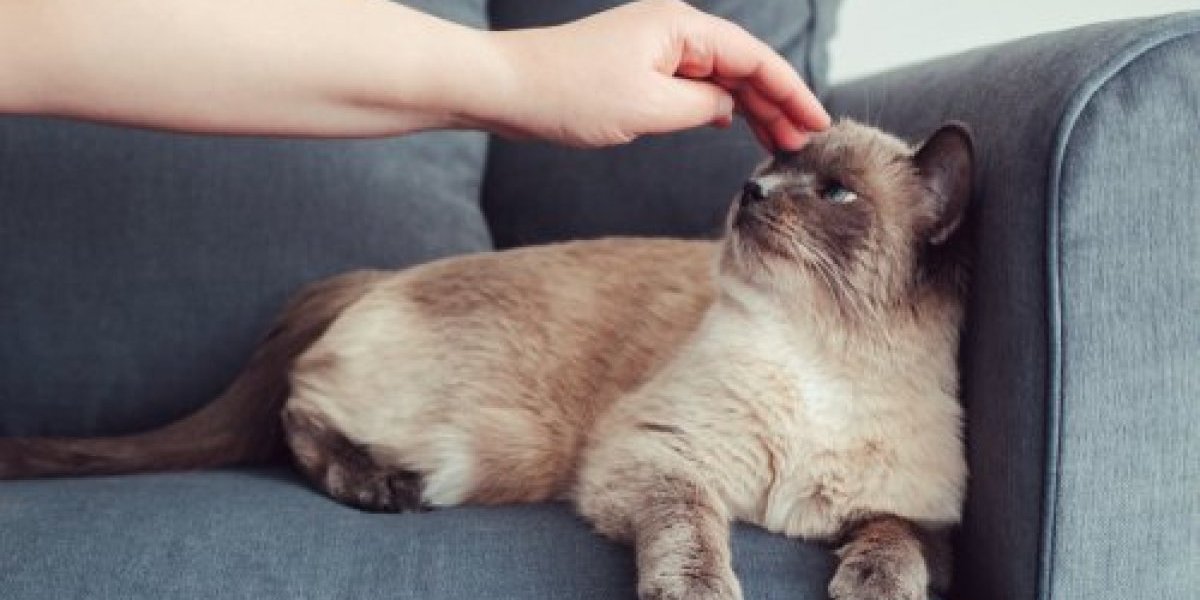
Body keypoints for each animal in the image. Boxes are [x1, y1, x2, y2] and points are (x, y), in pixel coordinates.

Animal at [0, 120, 974, 600]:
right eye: (771, 165)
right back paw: (379, 490)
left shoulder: (924, 514)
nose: (752, 190)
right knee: (297, 416)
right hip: (487, 451)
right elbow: (693, 534)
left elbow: (899, 545)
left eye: (835, 192)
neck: (816, 363)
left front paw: (867, 590)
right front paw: (702, 593)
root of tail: (387, 273)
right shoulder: (657, 462)